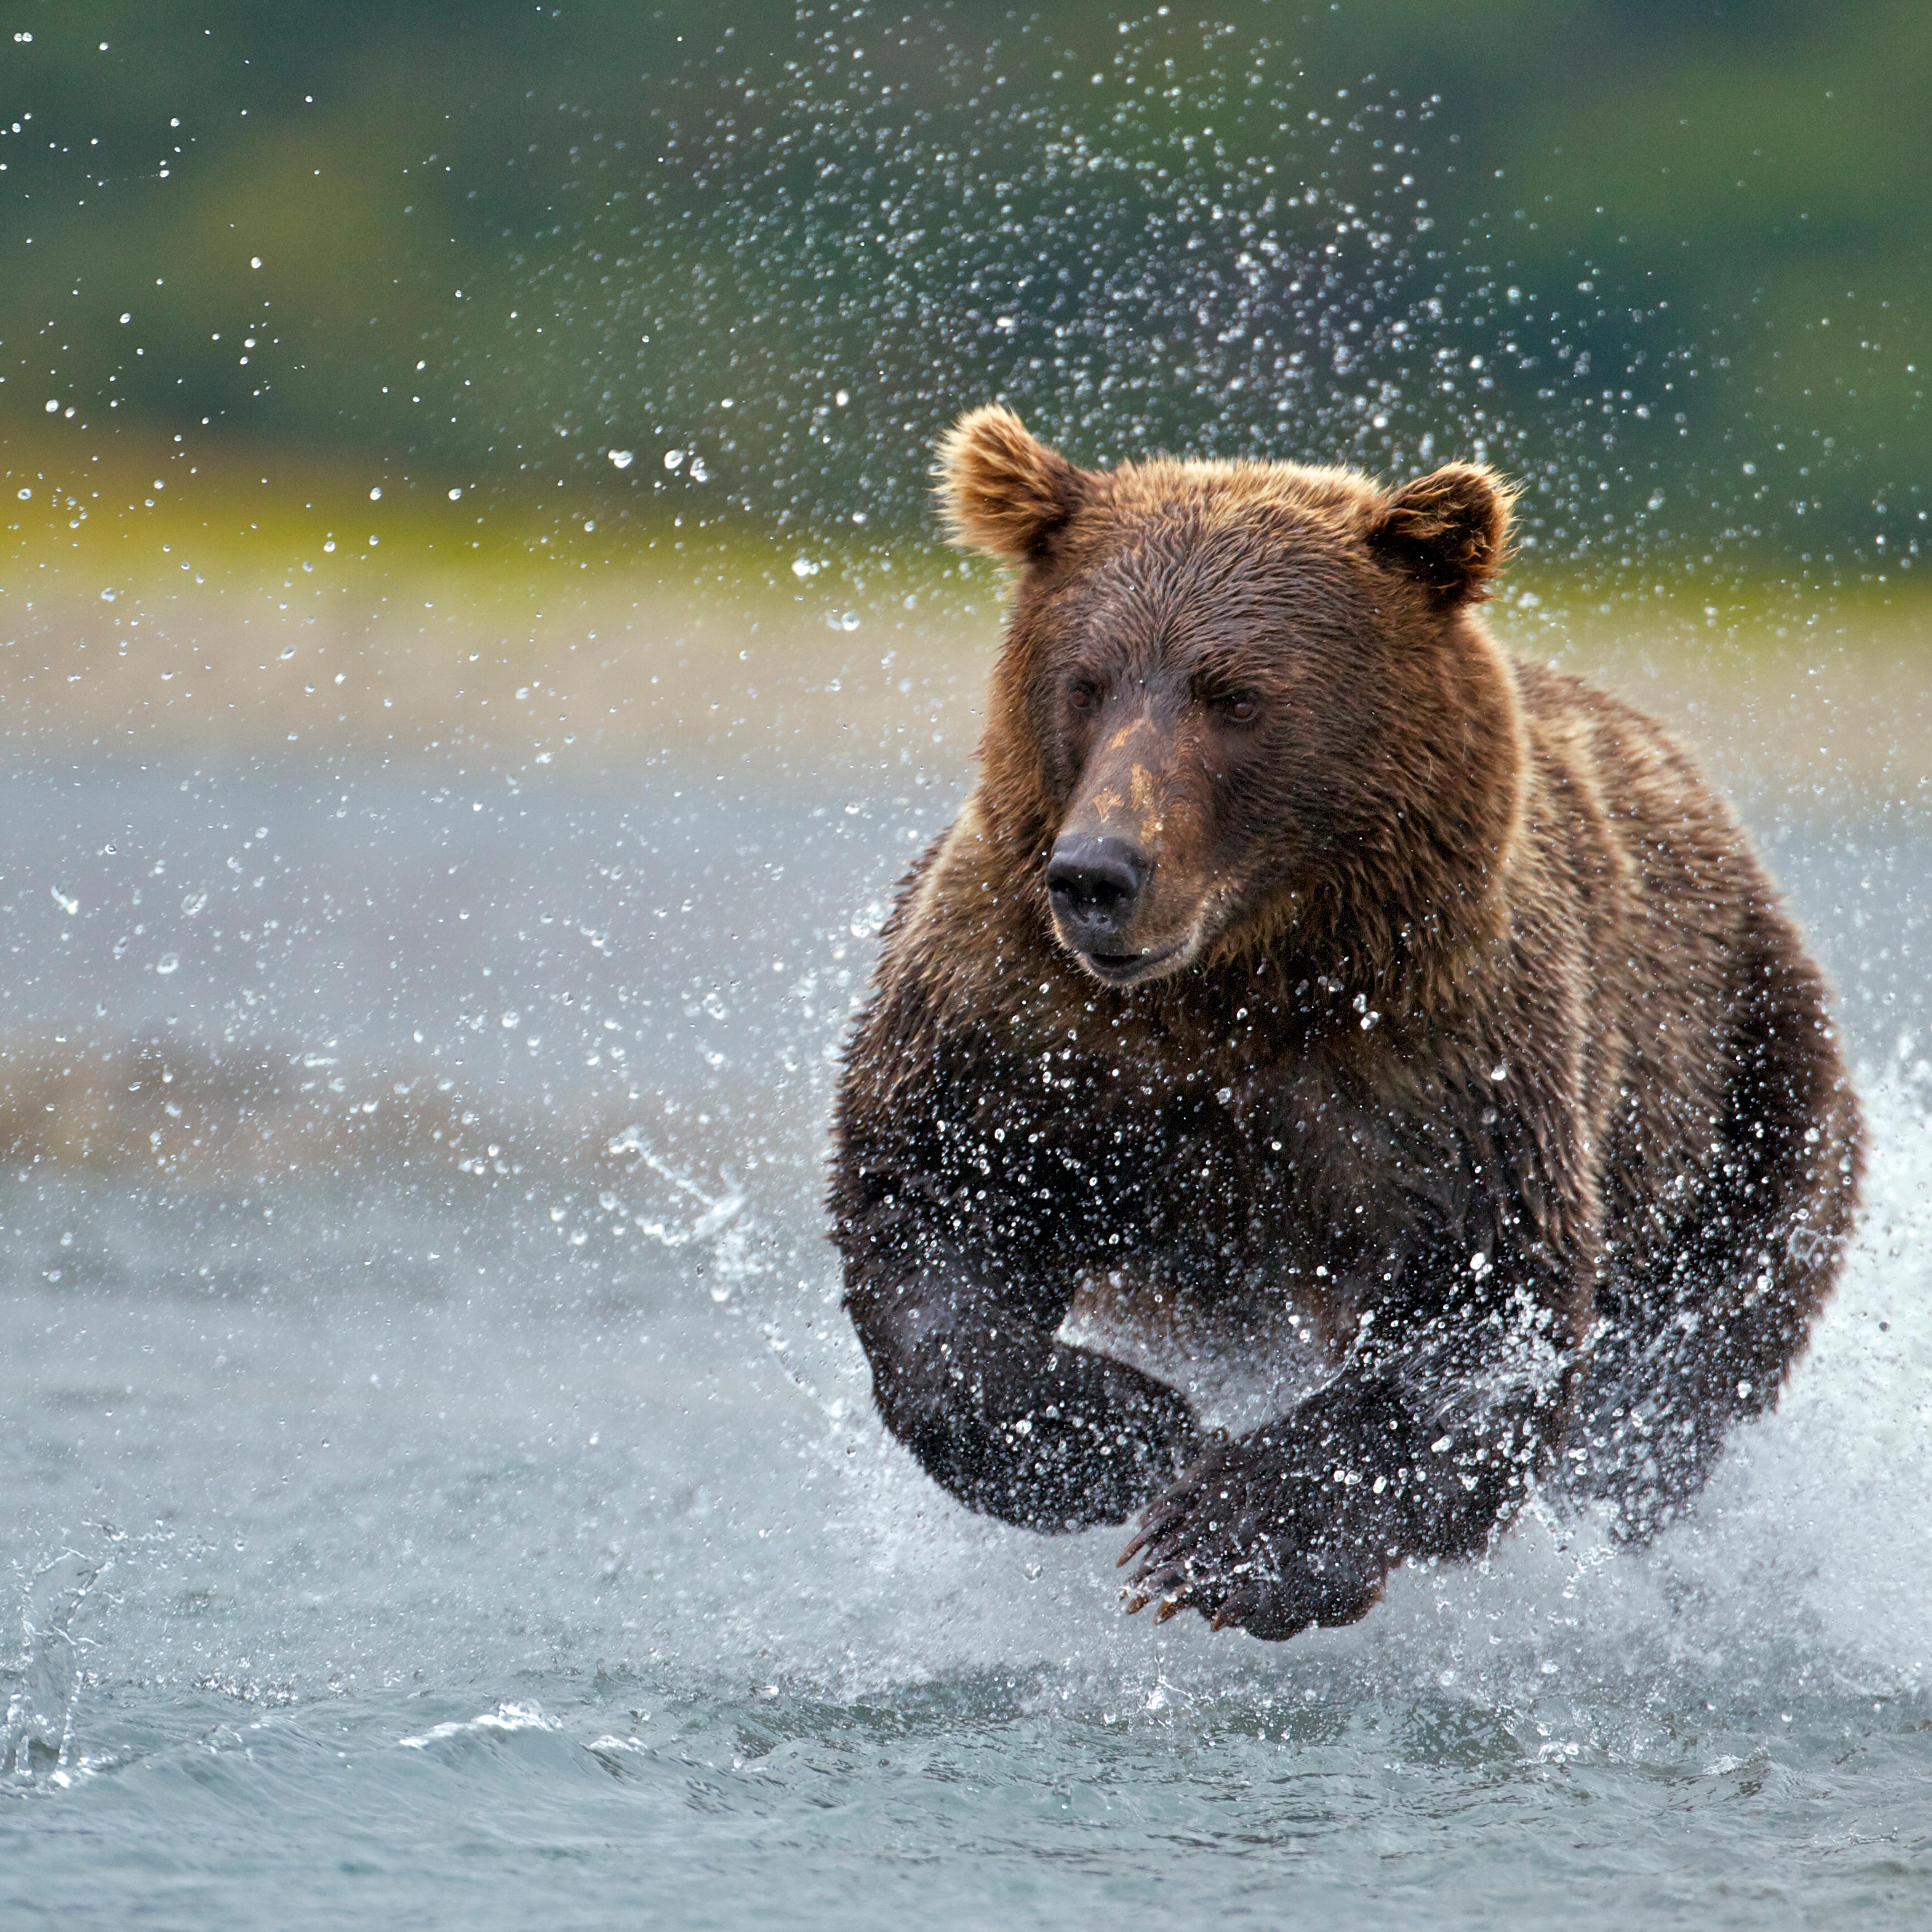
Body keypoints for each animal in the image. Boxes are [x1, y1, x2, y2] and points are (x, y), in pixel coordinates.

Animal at [829, 404, 1863, 1640]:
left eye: (1236, 695)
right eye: (1087, 681)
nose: (1098, 874)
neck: (1244, 977)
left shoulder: (1447, 1065)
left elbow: (1479, 1313)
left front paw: (1225, 1542)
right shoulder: (1028, 1023)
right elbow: (934, 1203)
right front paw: (1117, 1432)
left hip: (1749, 1098)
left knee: (1678, 1377)